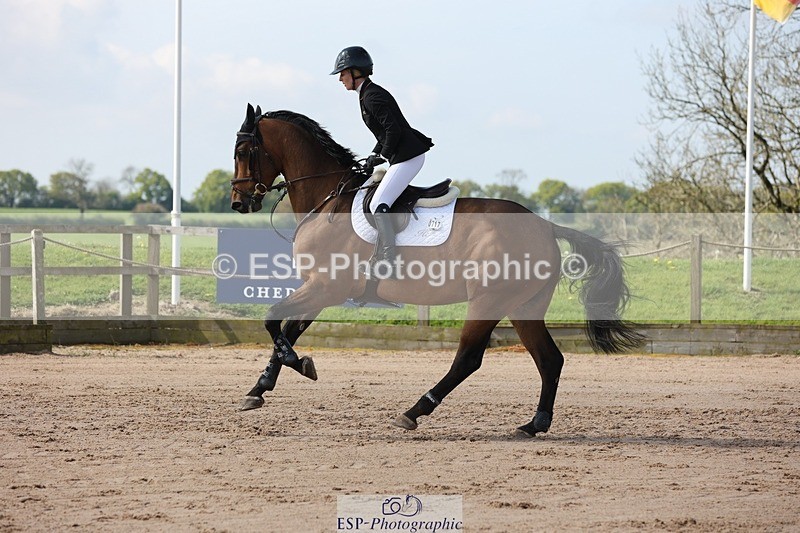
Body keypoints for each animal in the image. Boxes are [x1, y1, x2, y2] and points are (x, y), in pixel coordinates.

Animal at [229, 103, 644, 436]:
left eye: (244, 151)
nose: (237, 202)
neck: (329, 197)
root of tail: (545, 225)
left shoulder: (325, 287)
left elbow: (272, 320)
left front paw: (298, 365)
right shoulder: (319, 290)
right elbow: (286, 330)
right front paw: (260, 388)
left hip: (488, 300)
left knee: (468, 360)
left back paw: (415, 411)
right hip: (523, 306)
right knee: (549, 359)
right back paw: (534, 424)